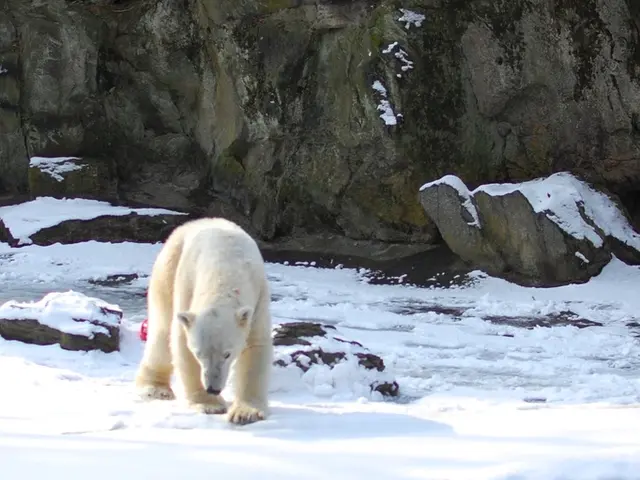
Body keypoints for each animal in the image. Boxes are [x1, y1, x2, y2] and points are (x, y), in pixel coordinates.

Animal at [134, 217, 273, 425]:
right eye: (199, 353)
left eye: (227, 354)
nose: (213, 388)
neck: (224, 269)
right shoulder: (186, 288)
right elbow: (181, 343)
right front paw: (210, 404)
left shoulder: (258, 298)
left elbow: (256, 344)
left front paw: (246, 413)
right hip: (168, 268)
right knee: (161, 331)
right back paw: (155, 388)